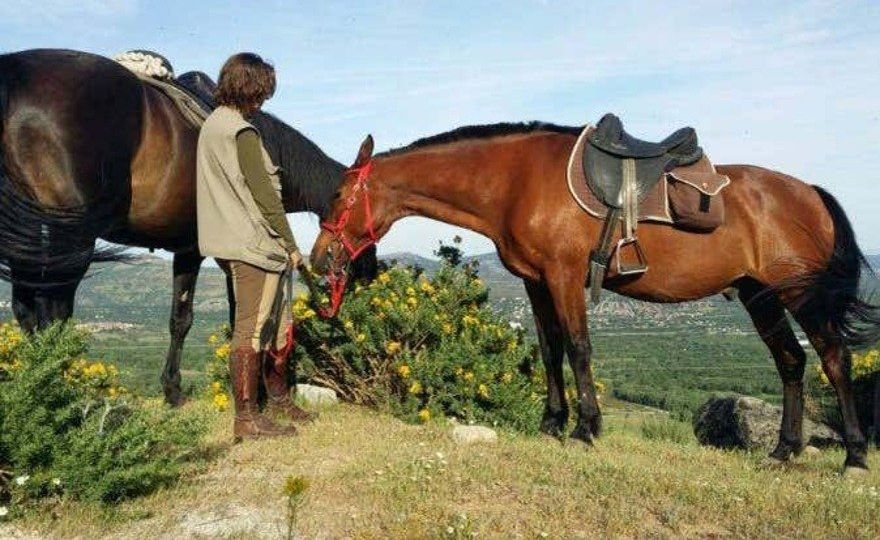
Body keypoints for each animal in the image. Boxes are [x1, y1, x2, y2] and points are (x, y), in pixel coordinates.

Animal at [0, 48, 376, 405]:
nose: (370, 272)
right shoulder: (207, 251)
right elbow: (212, 316)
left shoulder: (191, 250)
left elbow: (186, 319)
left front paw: (174, 389)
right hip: (67, 241)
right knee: (53, 314)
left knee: (26, 309)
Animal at [310, 124, 880, 473]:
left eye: (338, 195)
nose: (318, 260)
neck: (514, 180)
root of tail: (809, 191)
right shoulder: (536, 281)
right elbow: (550, 351)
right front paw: (551, 424)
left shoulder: (564, 275)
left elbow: (580, 348)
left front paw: (586, 429)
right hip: (759, 294)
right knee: (791, 362)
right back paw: (783, 451)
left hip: (801, 294)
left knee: (834, 359)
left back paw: (853, 457)